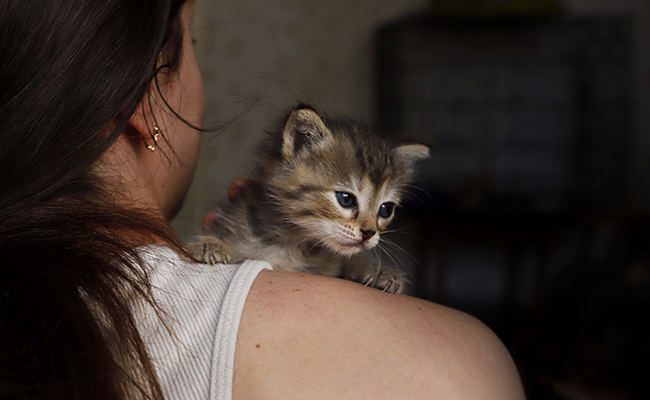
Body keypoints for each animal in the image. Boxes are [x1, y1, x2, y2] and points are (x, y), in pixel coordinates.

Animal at [189, 106, 426, 294]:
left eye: (386, 209)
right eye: (345, 199)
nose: (369, 233)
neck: (297, 245)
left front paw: (375, 269)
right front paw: (208, 245)